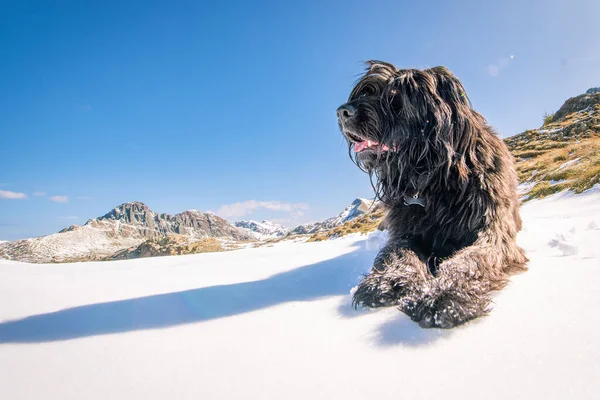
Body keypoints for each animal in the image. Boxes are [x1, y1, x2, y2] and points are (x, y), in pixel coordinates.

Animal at [340, 60, 528, 328]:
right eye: (366, 91)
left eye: (394, 96)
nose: (342, 112)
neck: (434, 179)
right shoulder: (406, 230)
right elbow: (399, 251)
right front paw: (389, 279)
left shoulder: (493, 232)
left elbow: (470, 260)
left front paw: (443, 294)